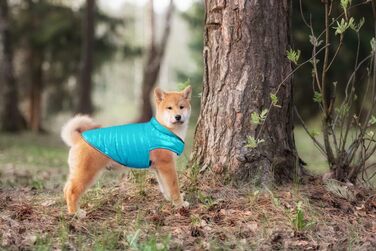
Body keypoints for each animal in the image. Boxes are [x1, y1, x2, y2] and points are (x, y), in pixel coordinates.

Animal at [61, 86, 192, 214]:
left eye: (181, 107)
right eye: (169, 108)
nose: (178, 116)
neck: (164, 129)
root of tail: (79, 139)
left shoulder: (160, 168)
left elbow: (165, 187)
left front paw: (170, 200)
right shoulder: (167, 165)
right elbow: (174, 187)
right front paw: (179, 204)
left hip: (79, 172)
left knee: (66, 188)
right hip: (87, 173)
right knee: (71, 191)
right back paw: (76, 213)